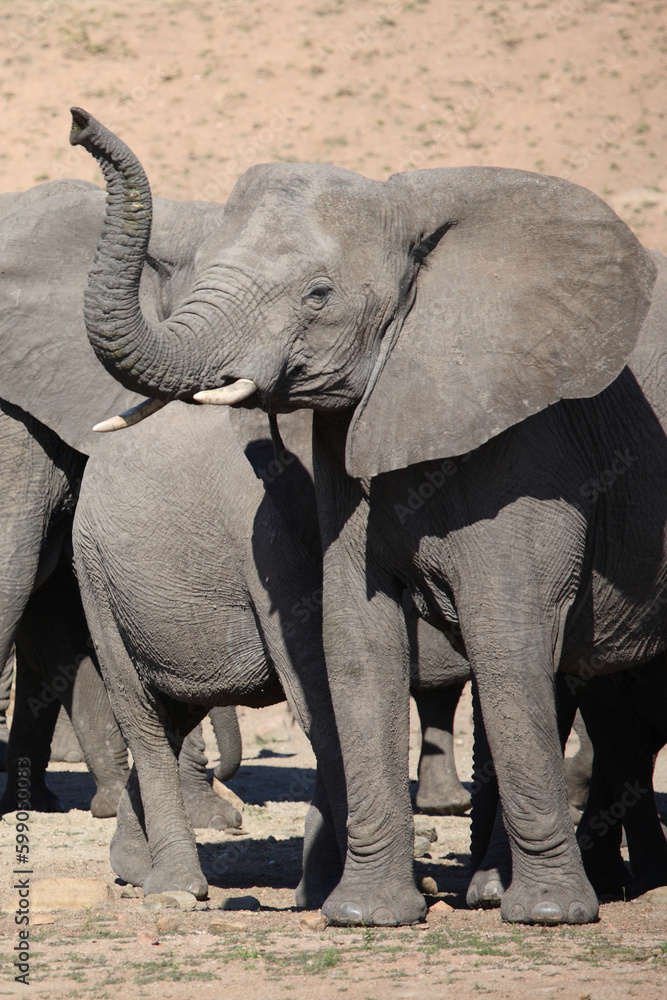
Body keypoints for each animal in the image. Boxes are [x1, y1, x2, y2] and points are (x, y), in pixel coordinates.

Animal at [71, 107, 667, 927]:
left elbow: (506, 635)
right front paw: (363, 913)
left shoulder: (533, 440)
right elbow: (352, 640)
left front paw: (539, 914)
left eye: (319, 295)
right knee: (147, 717)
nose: (78, 121)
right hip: (92, 574)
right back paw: (172, 892)